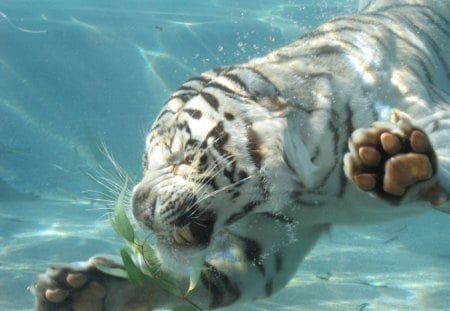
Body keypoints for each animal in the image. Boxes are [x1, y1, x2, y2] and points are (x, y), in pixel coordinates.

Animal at [32, 0, 450, 310]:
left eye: (182, 155)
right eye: (146, 162)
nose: (137, 208)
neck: (310, 187)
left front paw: (390, 160)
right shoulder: (270, 238)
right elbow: (207, 278)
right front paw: (85, 290)